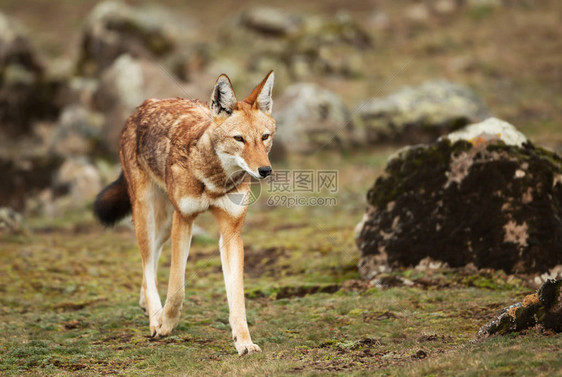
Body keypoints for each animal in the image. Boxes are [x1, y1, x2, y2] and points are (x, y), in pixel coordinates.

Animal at [94, 71, 276, 356]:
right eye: (239, 139)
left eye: (265, 137)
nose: (265, 170)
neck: (213, 179)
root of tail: (144, 105)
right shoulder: (184, 219)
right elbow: (176, 288)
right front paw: (165, 324)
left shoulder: (231, 231)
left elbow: (237, 297)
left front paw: (244, 343)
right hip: (147, 215)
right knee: (147, 261)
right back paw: (154, 316)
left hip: (163, 225)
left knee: (151, 259)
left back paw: (146, 305)